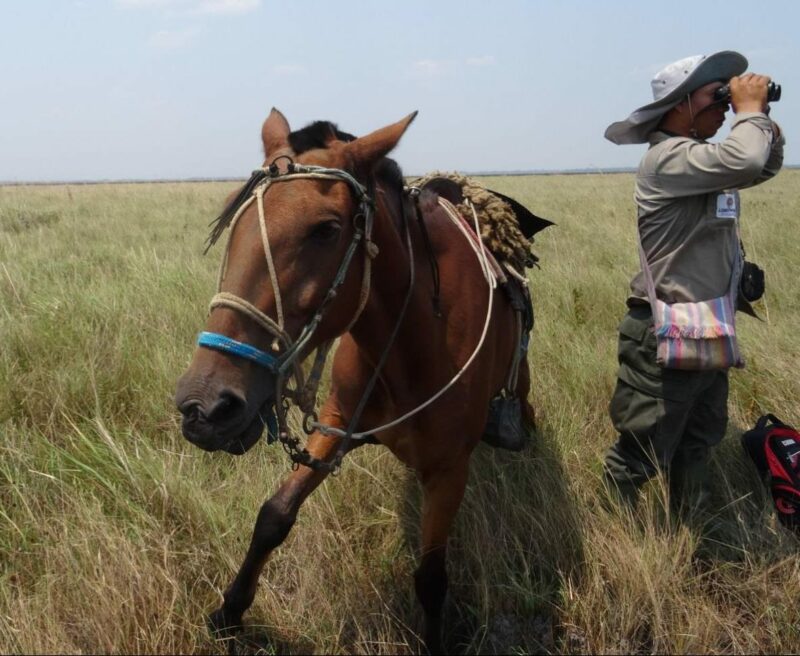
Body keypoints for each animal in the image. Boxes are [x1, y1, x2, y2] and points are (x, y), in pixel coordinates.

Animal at [177, 110, 536, 652]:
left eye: (326, 229)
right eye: (233, 223)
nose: (205, 406)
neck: (413, 343)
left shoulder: (449, 469)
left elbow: (432, 579)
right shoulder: (336, 423)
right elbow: (274, 516)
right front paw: (229, 613)